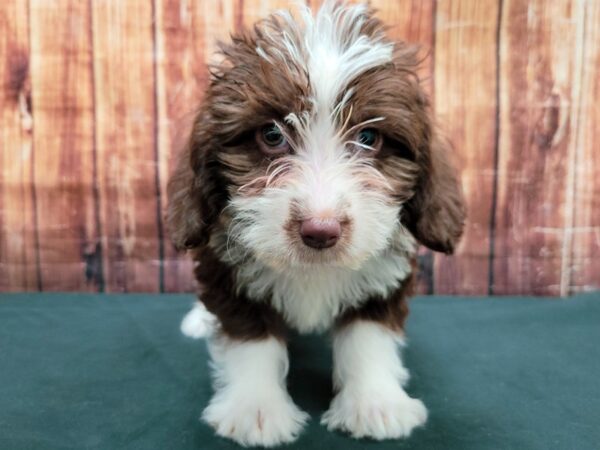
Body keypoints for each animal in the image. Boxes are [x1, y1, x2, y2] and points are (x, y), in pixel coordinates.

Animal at [166, 0, 466, 446]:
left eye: (369, 138)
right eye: (271, 135)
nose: (320, 230)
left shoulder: (384, 279)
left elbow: (368, 337)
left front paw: (374, 403)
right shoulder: (227, 271)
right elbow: (249, 339)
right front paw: (255, 409)